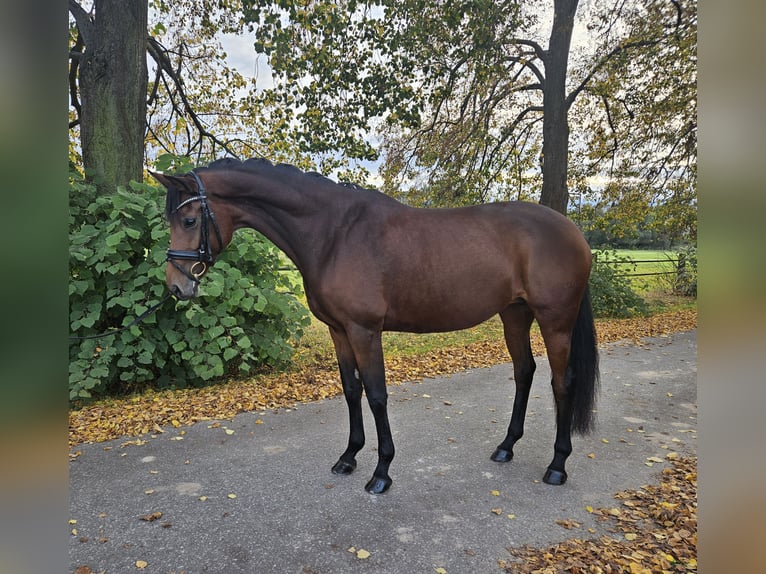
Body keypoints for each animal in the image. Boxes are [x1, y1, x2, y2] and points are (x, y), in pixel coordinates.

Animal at [152, 157, 599, 494]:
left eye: (188, 220)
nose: (177, 286)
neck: (334, 234)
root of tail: (573, 230)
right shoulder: (339, 331)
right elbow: (352, 391)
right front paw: (348, 457)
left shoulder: (365, 331)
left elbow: (377, 395)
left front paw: (381, 472)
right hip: (514, 315)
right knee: (524, 372)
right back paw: (506, 447)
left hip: (555, 320)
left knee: (562, 381)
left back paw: (557, 465)